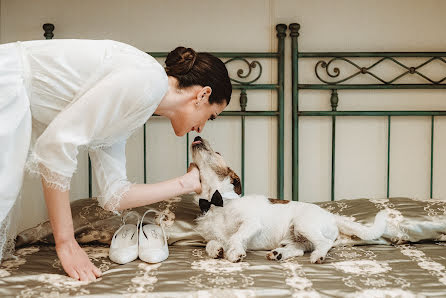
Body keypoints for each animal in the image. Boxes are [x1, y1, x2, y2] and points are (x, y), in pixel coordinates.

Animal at [190, 136, 388, 264]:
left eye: (217, 152)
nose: (197, 135)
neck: (215, 201)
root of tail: (331, 216)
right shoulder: (212, 235)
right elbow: (211, 243)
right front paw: (216, 250)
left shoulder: (251, 223)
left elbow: (236, 236)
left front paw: (234, 252)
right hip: (296, 237)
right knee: (300, 249)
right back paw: (279, 254)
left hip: (303, 224)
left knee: (324, 243)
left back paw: (317, 256)